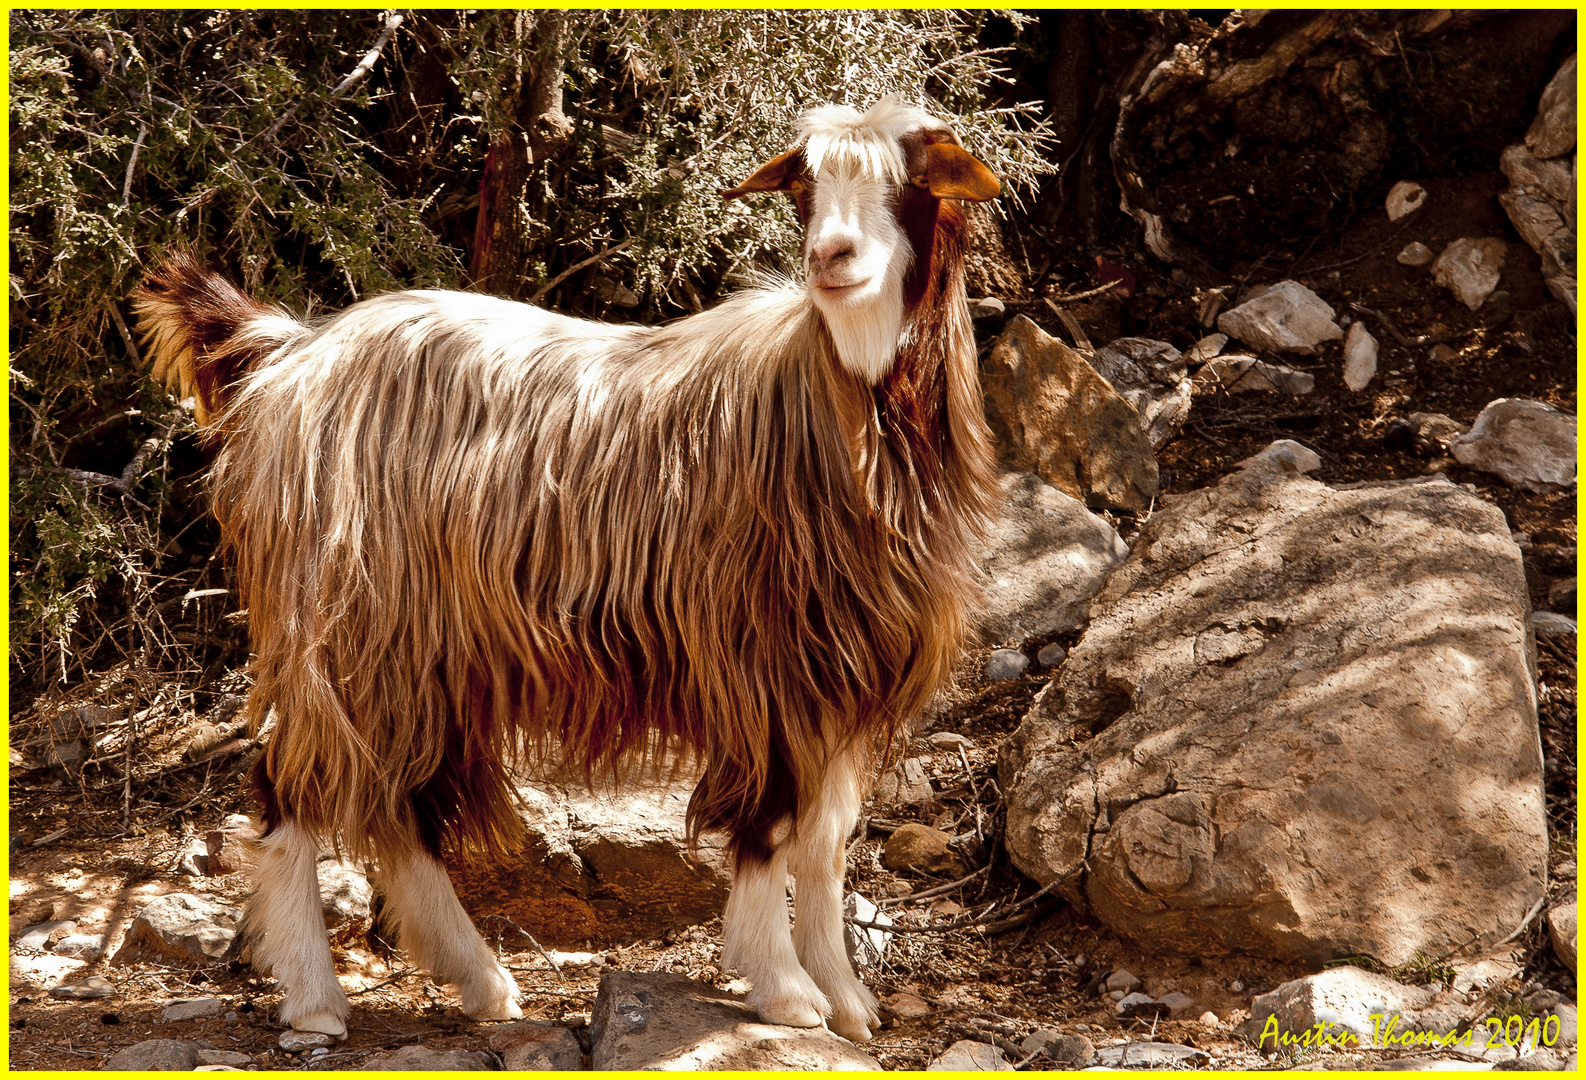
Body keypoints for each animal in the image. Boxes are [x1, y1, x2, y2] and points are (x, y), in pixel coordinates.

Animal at [139, 96, 1002, 1040]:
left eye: (910, 183)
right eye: (804, 189)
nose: (830, 259)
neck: (828, 402)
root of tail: (289, 355)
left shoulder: (846, 673)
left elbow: (827, 838)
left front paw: (845, 997)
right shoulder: (761, 667)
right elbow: (773, 826)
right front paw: (783, 987)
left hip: (426, 655)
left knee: (399, 811)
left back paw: (481, 982)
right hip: (345, 632)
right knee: (291, 789)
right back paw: (317, 999)